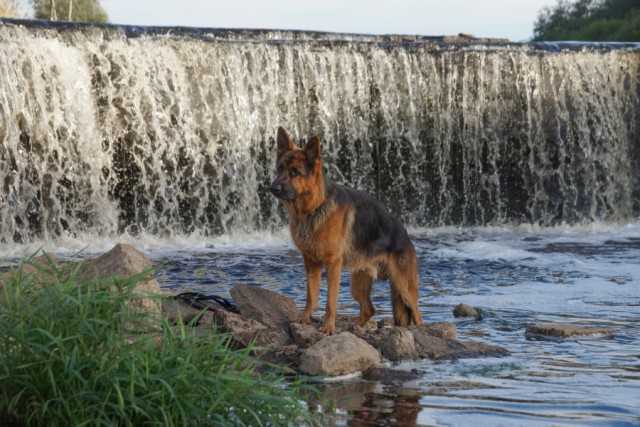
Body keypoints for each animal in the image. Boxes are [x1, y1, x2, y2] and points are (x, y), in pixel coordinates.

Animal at [268, 127, 422, 334]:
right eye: (279, 169)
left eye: (295, 172)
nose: (273, 188)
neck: (312, 210)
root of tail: (406, 235)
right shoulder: (311, 262)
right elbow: (311, 296)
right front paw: (305, 319)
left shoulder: (333, 263)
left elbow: (331, 300)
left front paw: (328, 327)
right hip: (358, 284)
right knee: (369, 309)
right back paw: (354, 328)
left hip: (403, 286)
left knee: (416, 313)